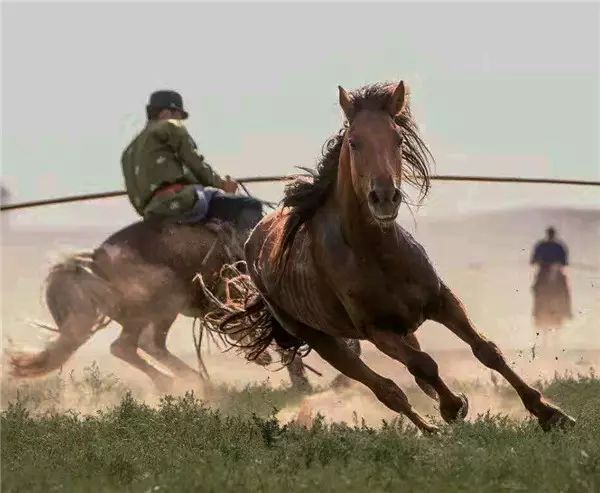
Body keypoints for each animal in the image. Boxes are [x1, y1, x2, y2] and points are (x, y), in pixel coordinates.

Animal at [9, 216, 312, 392]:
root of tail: (94, 262)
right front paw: (302, 382)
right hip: (163, 302)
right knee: (135, 344)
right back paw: (183, 382)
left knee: (138, 346)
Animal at [216, 80, 576, 430]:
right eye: (354, 142)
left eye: (398, 139)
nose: (385, 197)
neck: (378, 255)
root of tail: (253, 242)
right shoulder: (378, 331)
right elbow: (424, 365)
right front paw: (453, 407)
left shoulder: (441, 301)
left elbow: (486, 350)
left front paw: (550, 413)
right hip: (323, 340)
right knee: (386, 389)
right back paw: (431, 428)